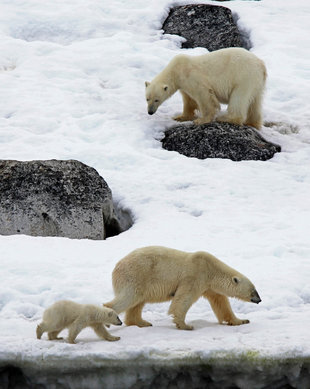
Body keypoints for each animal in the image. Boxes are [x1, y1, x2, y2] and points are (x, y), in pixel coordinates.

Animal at [104, 244, 262, 328]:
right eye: (253, 290)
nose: (259, 300)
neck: (211, 269)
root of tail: (116, 267)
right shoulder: (195, 275)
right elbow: (184, 298)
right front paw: (185, 325)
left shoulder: (209, 286)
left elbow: (221, 303)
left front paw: (241, 320)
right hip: (136, 275)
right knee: (129, 297)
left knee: (137, 303)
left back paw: (142, 322)